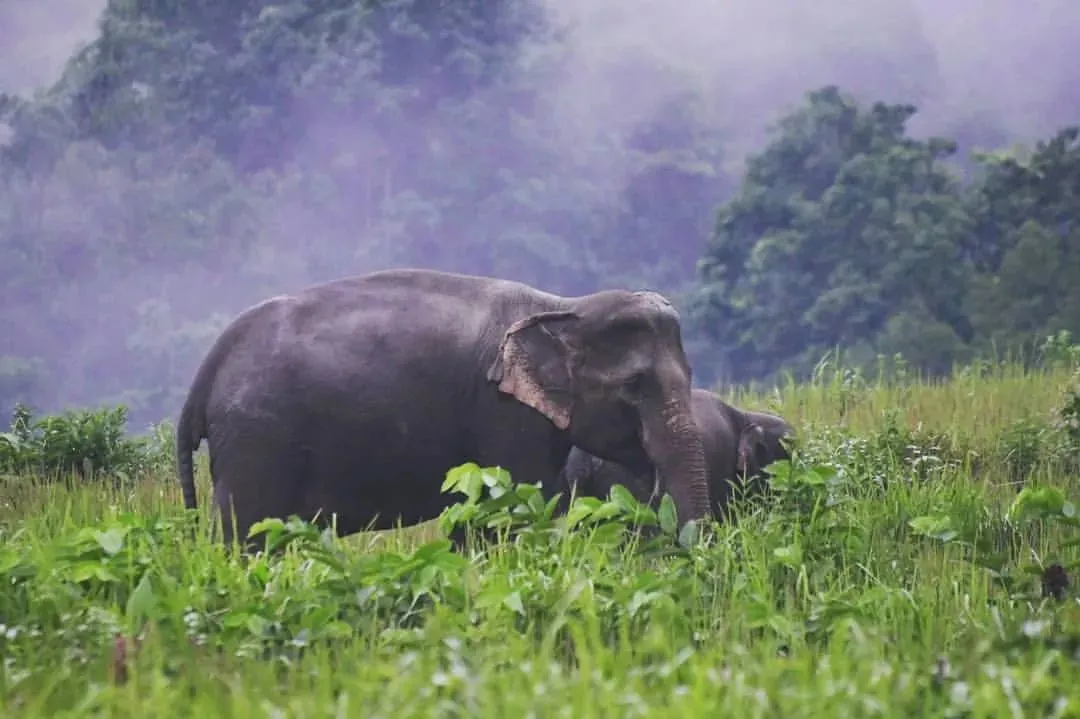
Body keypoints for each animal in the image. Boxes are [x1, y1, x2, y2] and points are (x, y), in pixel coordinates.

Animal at [175, 268, 710, 550]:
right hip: (256, 441)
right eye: (635, 386)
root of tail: (205, 373)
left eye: (691, 375)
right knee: (244, 536)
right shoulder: (503, 415)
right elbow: (518, 503)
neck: (563, 306)